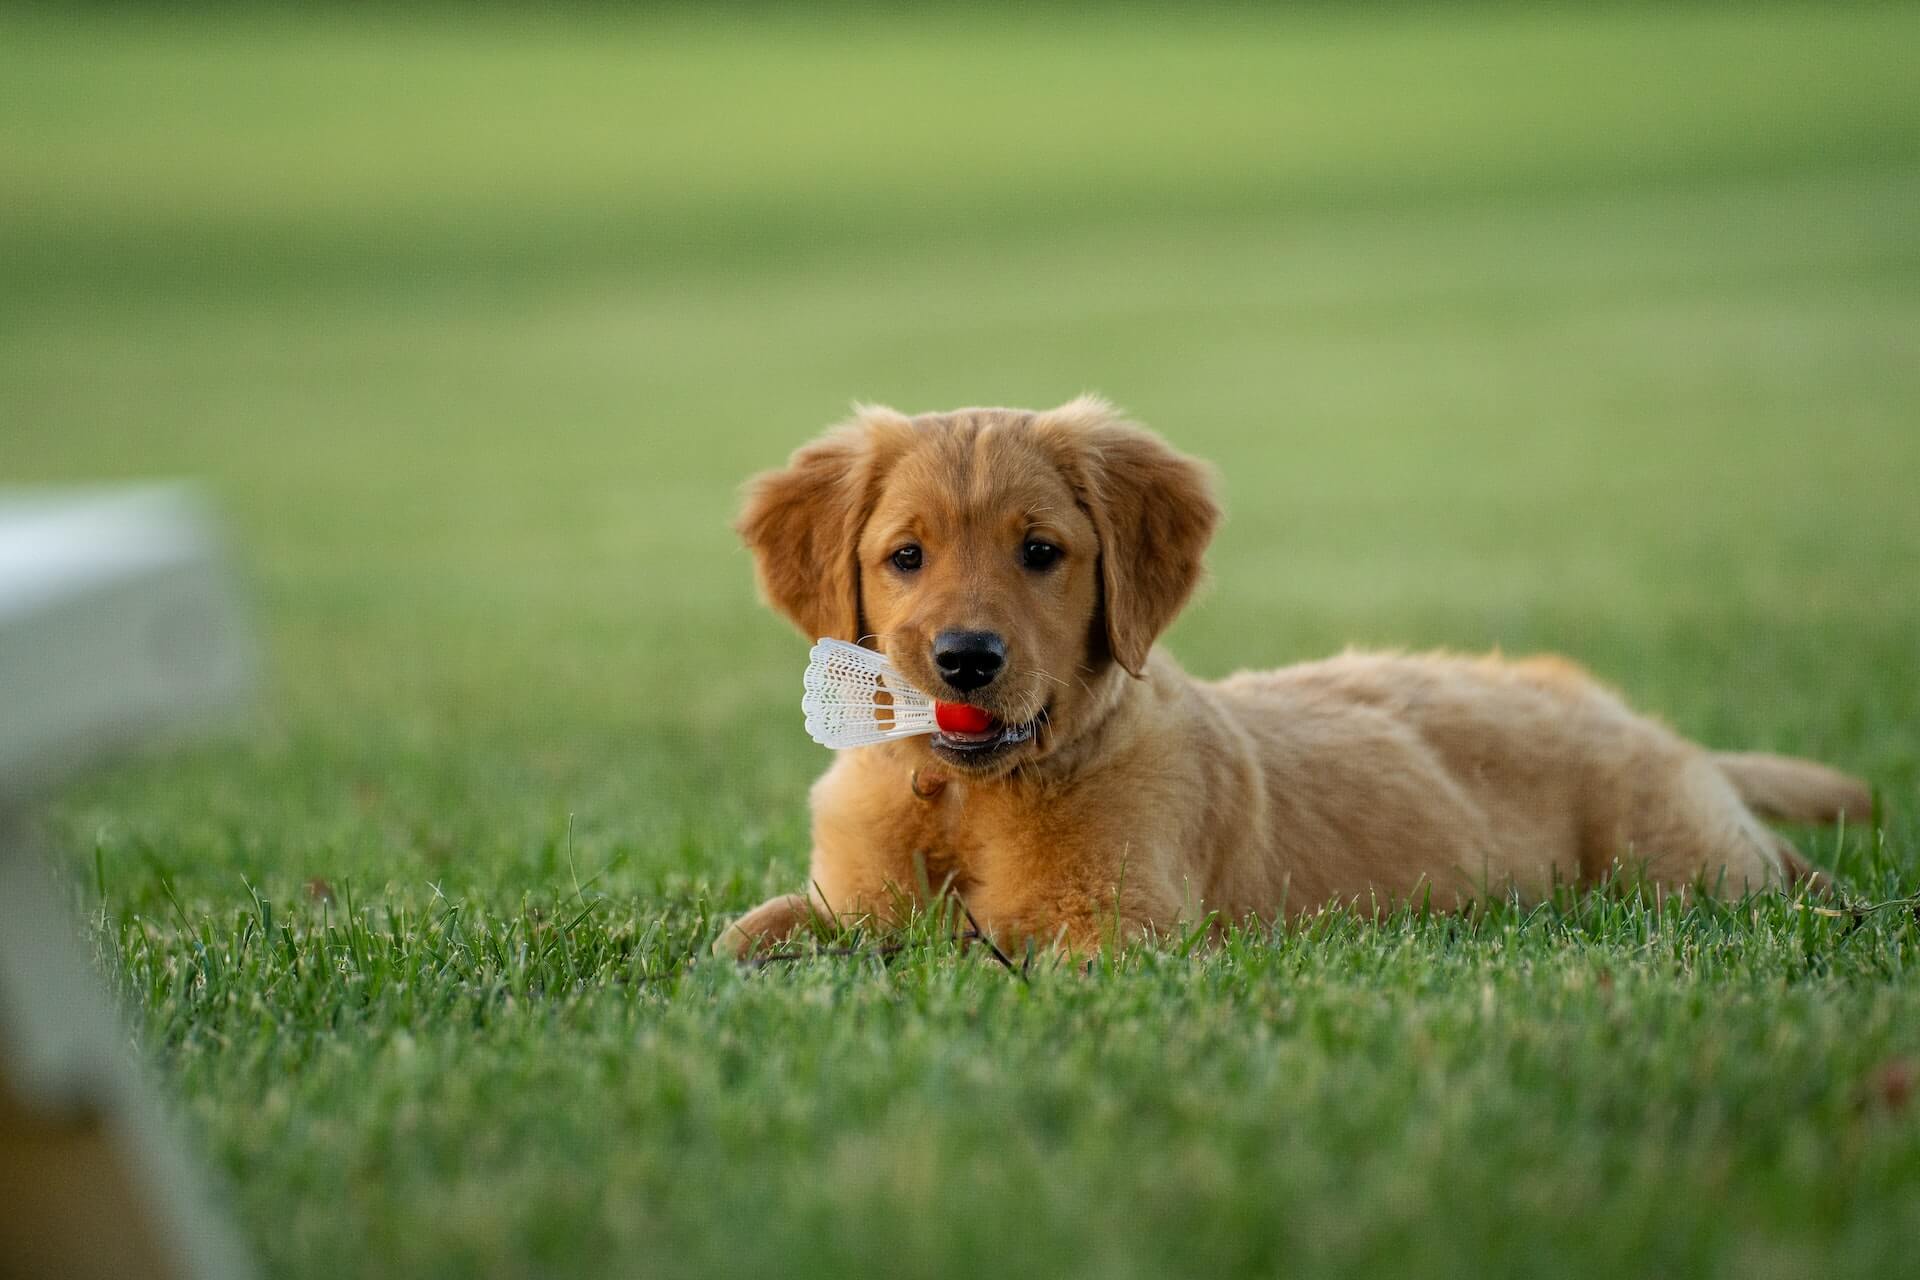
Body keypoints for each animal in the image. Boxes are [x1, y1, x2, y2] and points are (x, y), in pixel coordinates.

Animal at [714, 395, 1866, 955]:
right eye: (905, 556)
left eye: (1040, 552)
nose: (966, 656)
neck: (964, 797)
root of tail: (1649, 724)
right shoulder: (849, 897)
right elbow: (750, 934)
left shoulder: (1120, 936)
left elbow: (982, 958)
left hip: (1679, 863)